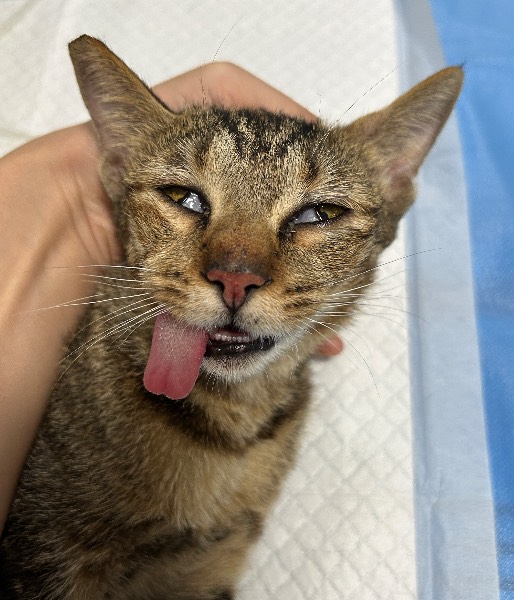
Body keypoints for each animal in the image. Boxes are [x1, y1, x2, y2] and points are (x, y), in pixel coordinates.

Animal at [0, 35, 462, 599]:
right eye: (184, 198)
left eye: (319, 214)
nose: (235, 278)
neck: (233, 426)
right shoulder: (48, 555)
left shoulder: (209, 566)